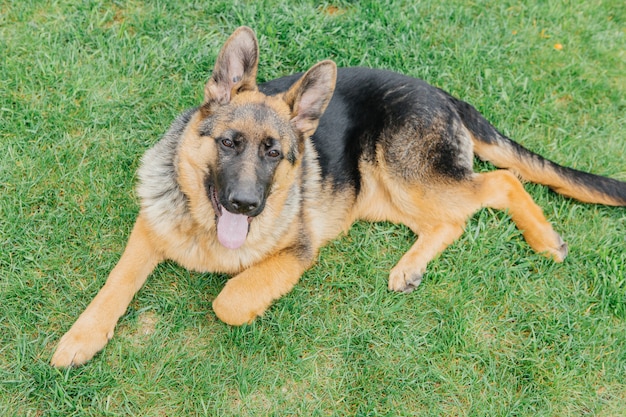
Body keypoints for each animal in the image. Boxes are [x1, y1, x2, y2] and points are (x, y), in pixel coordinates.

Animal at [50, 26, 624, 366]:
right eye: (229, 143)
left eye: (275, 153)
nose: (245, 205)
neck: (204, 226)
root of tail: (443, 94)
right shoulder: (149, 230)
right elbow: (115, 283)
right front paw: (81, 337)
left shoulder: (297, 252)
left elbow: (229, 299)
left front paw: (246, 302)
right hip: (380, 193)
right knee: (449, 220)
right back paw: (411, 267)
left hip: (405, 172)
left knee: (501, 182)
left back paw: (544, 238)